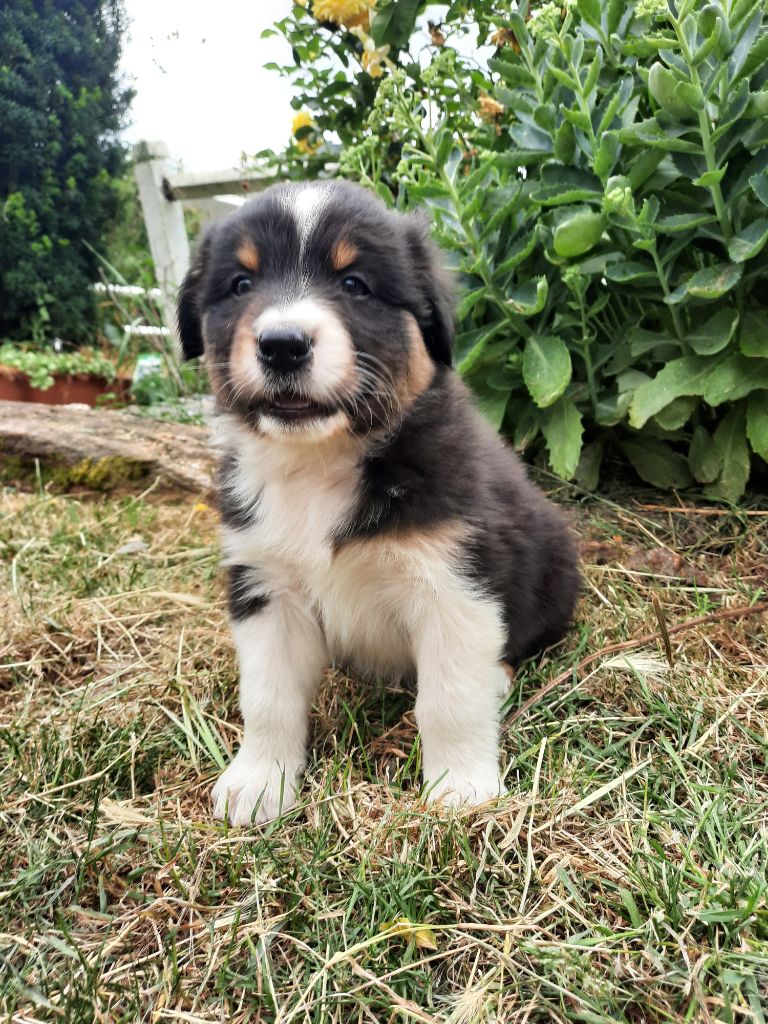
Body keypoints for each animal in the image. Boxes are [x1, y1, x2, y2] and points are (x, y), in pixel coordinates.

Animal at [177, 180, 580, 825]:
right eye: (241, 284)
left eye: (354, 284)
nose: (282, 345)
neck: (319, 464)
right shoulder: (264, 583)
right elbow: (267, 696)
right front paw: (260, 782)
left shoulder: (454, 583)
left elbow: (448, 699)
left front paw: (459, 789)